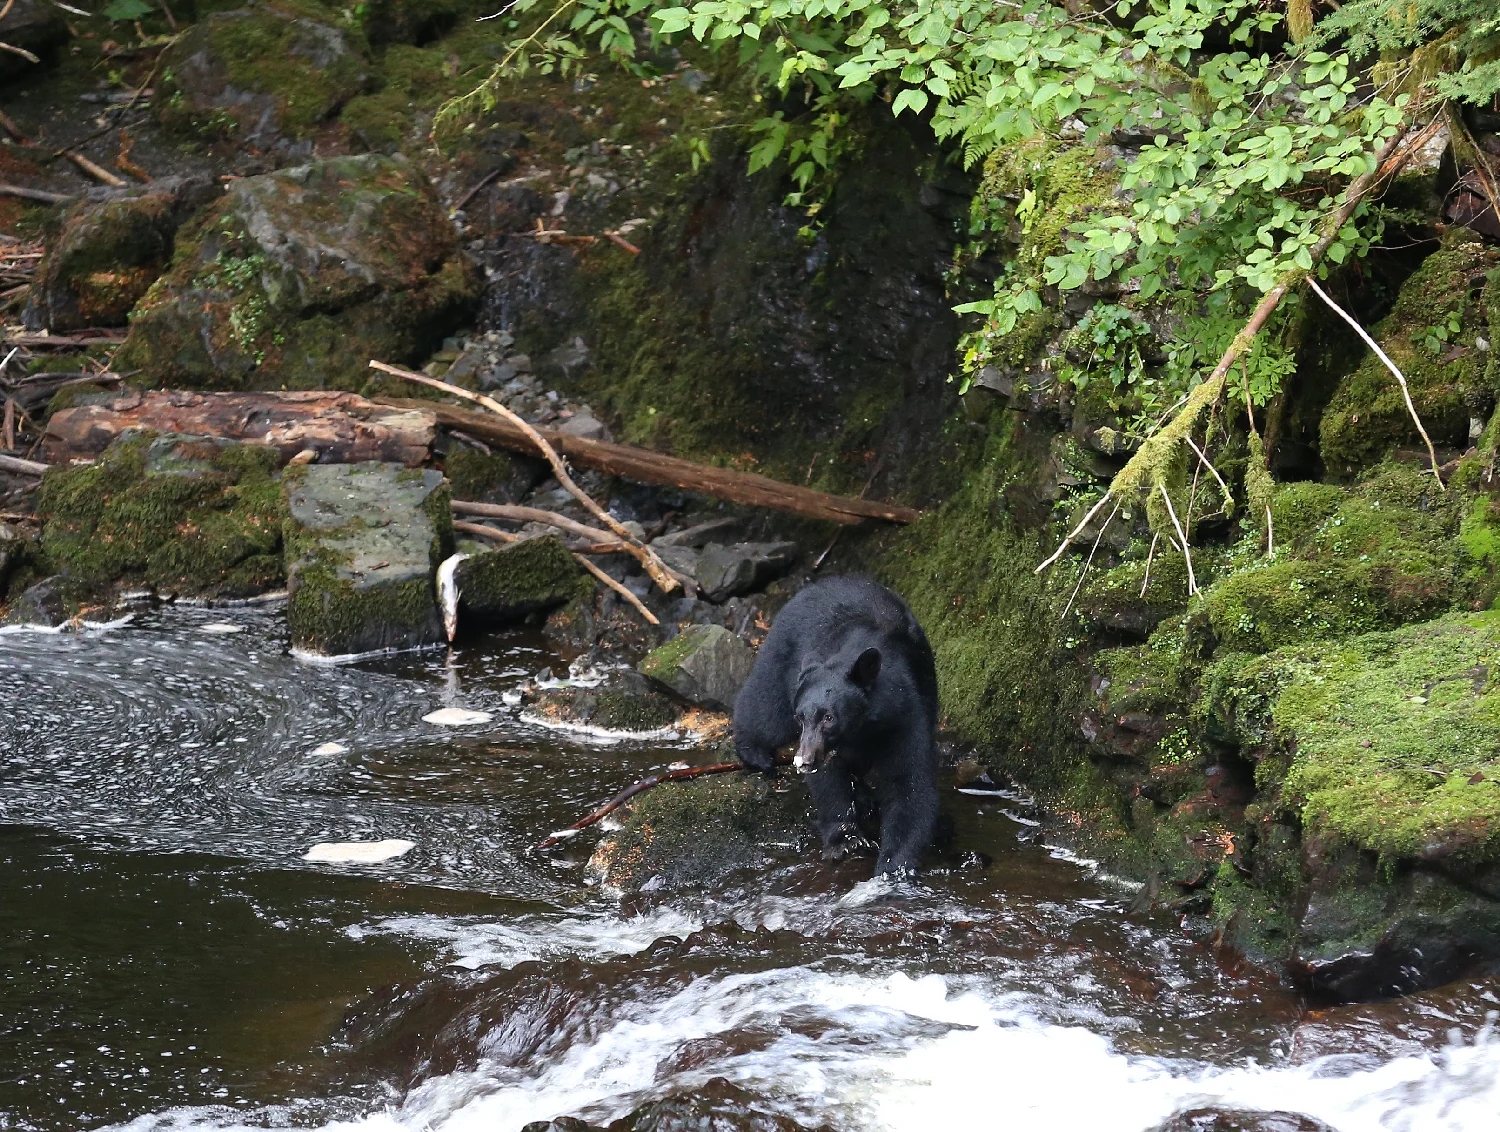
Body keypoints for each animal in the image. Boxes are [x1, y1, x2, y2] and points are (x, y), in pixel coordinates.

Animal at [732, 575, 940, 876]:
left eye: (829, 717)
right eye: (801, 717)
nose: (804, 761)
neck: (865, 726)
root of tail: (817, 583)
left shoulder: (906, 714)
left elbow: (910, 783)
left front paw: (893, 865)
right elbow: (828, 782)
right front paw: (846, 840)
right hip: (783, 656)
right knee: (767, 708)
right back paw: (756, 753)